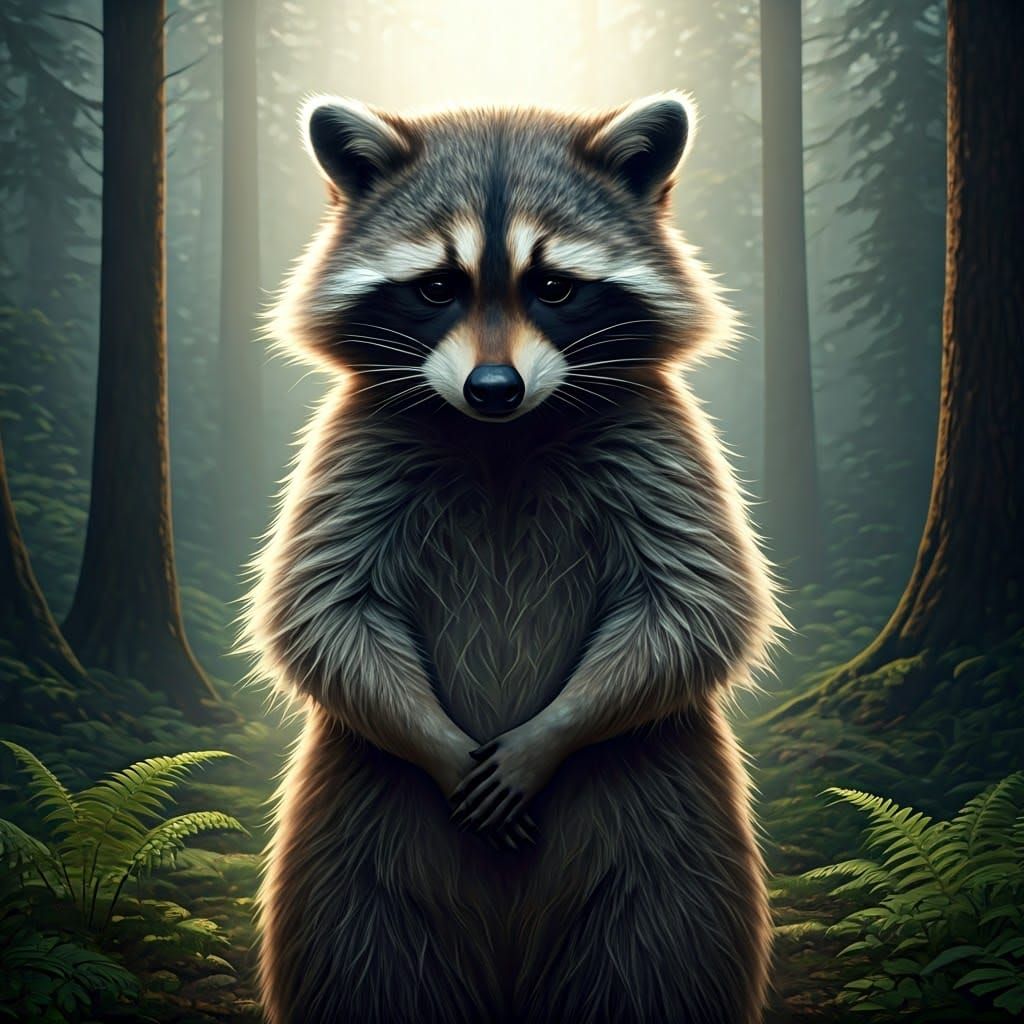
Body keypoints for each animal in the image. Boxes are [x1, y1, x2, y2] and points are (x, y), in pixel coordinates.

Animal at [246, 92, 780, 1024]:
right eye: (436, 287)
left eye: (554, 286)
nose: (492, 389)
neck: (502, 438)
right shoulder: (356, 445)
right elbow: (319, 611)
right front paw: (437, 742)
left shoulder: (660, 440)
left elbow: (696, 605)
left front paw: (547, 736)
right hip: (352, 847)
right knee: (367, 962)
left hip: (667, 835)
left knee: (657, 958)